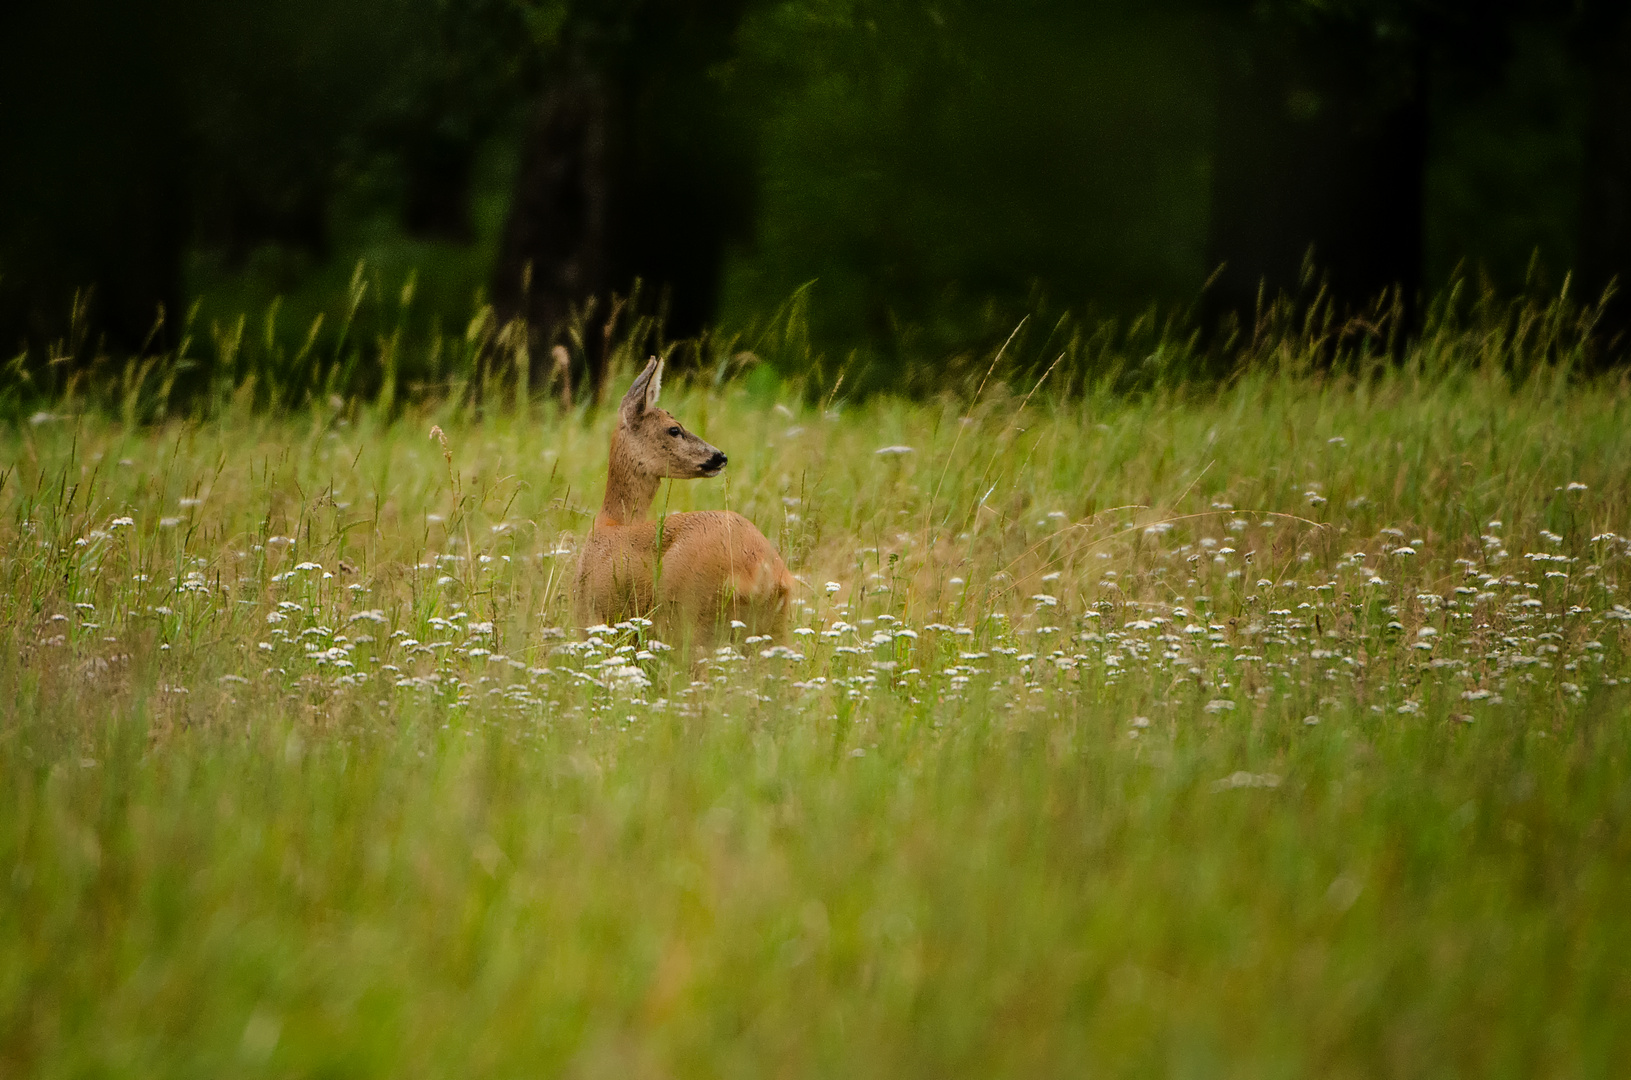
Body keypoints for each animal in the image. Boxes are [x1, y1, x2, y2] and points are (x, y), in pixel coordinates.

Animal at [577, 357, 792, 652]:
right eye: (674, 429)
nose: (720, 456)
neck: (609, 523)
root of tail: (761, 573)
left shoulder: (590, 615)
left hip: (688, 616)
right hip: (776, 628)